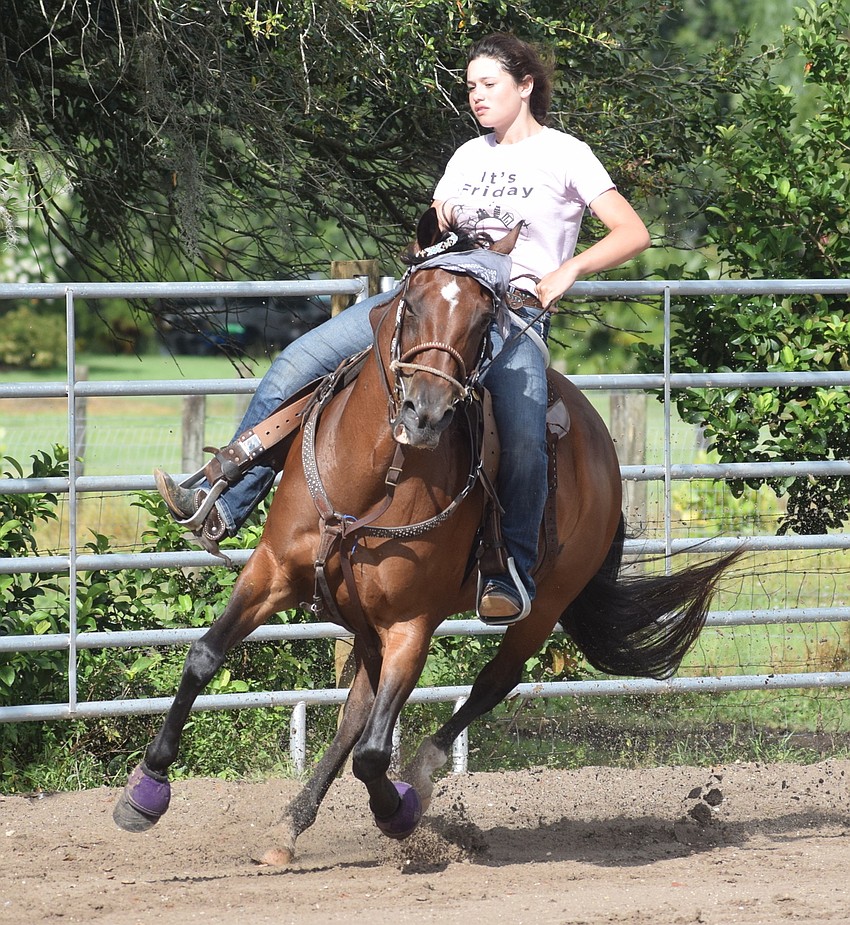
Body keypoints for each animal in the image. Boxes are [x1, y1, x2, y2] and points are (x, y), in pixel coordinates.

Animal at [114, 209, 739, 864]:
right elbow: (204, 657)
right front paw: (145, 792)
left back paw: (421, 774)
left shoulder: (411, 625)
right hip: (363, 617)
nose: (425, 413)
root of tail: (599, 441)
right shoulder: (273, 572)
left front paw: (399, 811)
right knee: (355, 713)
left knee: (489, 683)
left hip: (543, 605)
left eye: (486, 319)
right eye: (410, 303)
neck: (370, 480)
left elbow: (373, 754)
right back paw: (289, 827)